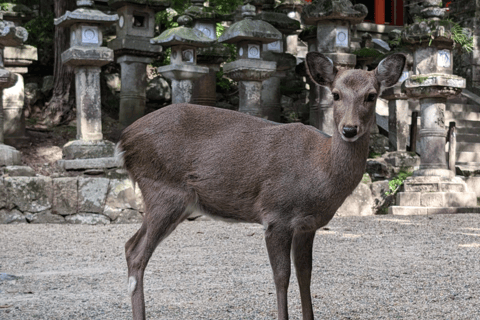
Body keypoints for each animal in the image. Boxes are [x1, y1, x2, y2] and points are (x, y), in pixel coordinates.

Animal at [117, 51, 404, 318]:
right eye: (335, 94)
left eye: (371, 95)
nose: (349, 129)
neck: (320, 173)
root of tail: (124, 140)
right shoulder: (277, 215)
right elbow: (281, 277)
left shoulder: (308, 225)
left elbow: (306, 274)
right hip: (163, 190)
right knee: (137, 253)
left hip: (176, 202)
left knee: (129, 246)